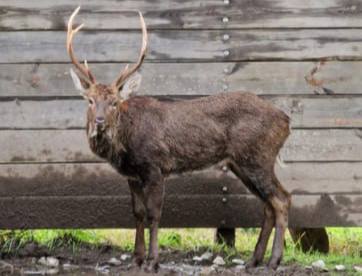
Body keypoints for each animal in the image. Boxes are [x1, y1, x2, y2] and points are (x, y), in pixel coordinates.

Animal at [66, 5, 292, 272]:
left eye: (114, 102)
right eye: (90, 100)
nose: (100, 121)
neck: (126, 144)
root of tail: (286, 121)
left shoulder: (155, 166)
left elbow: (154, 213)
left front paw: (152, 261)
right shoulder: (132, 175)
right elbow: (137, 213)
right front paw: (136, 259)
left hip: (258, 157)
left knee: (282, 199)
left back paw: (274, 261)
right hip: (242, 163)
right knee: (268, 204)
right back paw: (254, 260)